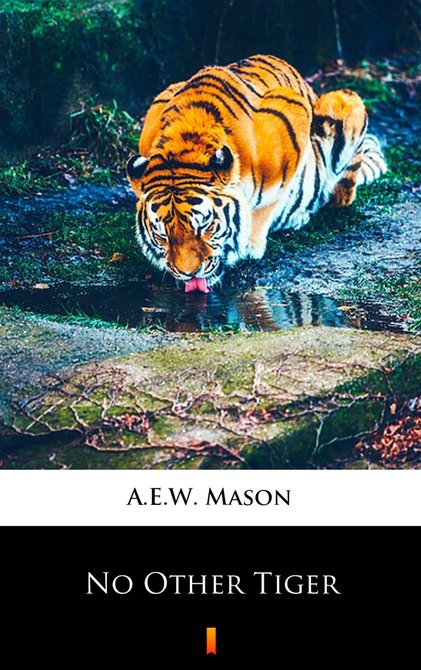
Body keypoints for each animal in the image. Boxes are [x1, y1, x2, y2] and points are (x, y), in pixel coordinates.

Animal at [126, 54, 386, 291]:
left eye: (204, 226)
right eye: (162, 235)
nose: (189, 273)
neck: (186, 142)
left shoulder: (293, 116)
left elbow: (268, 203)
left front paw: (250, 244)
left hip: (343, 101)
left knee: (340, 194)